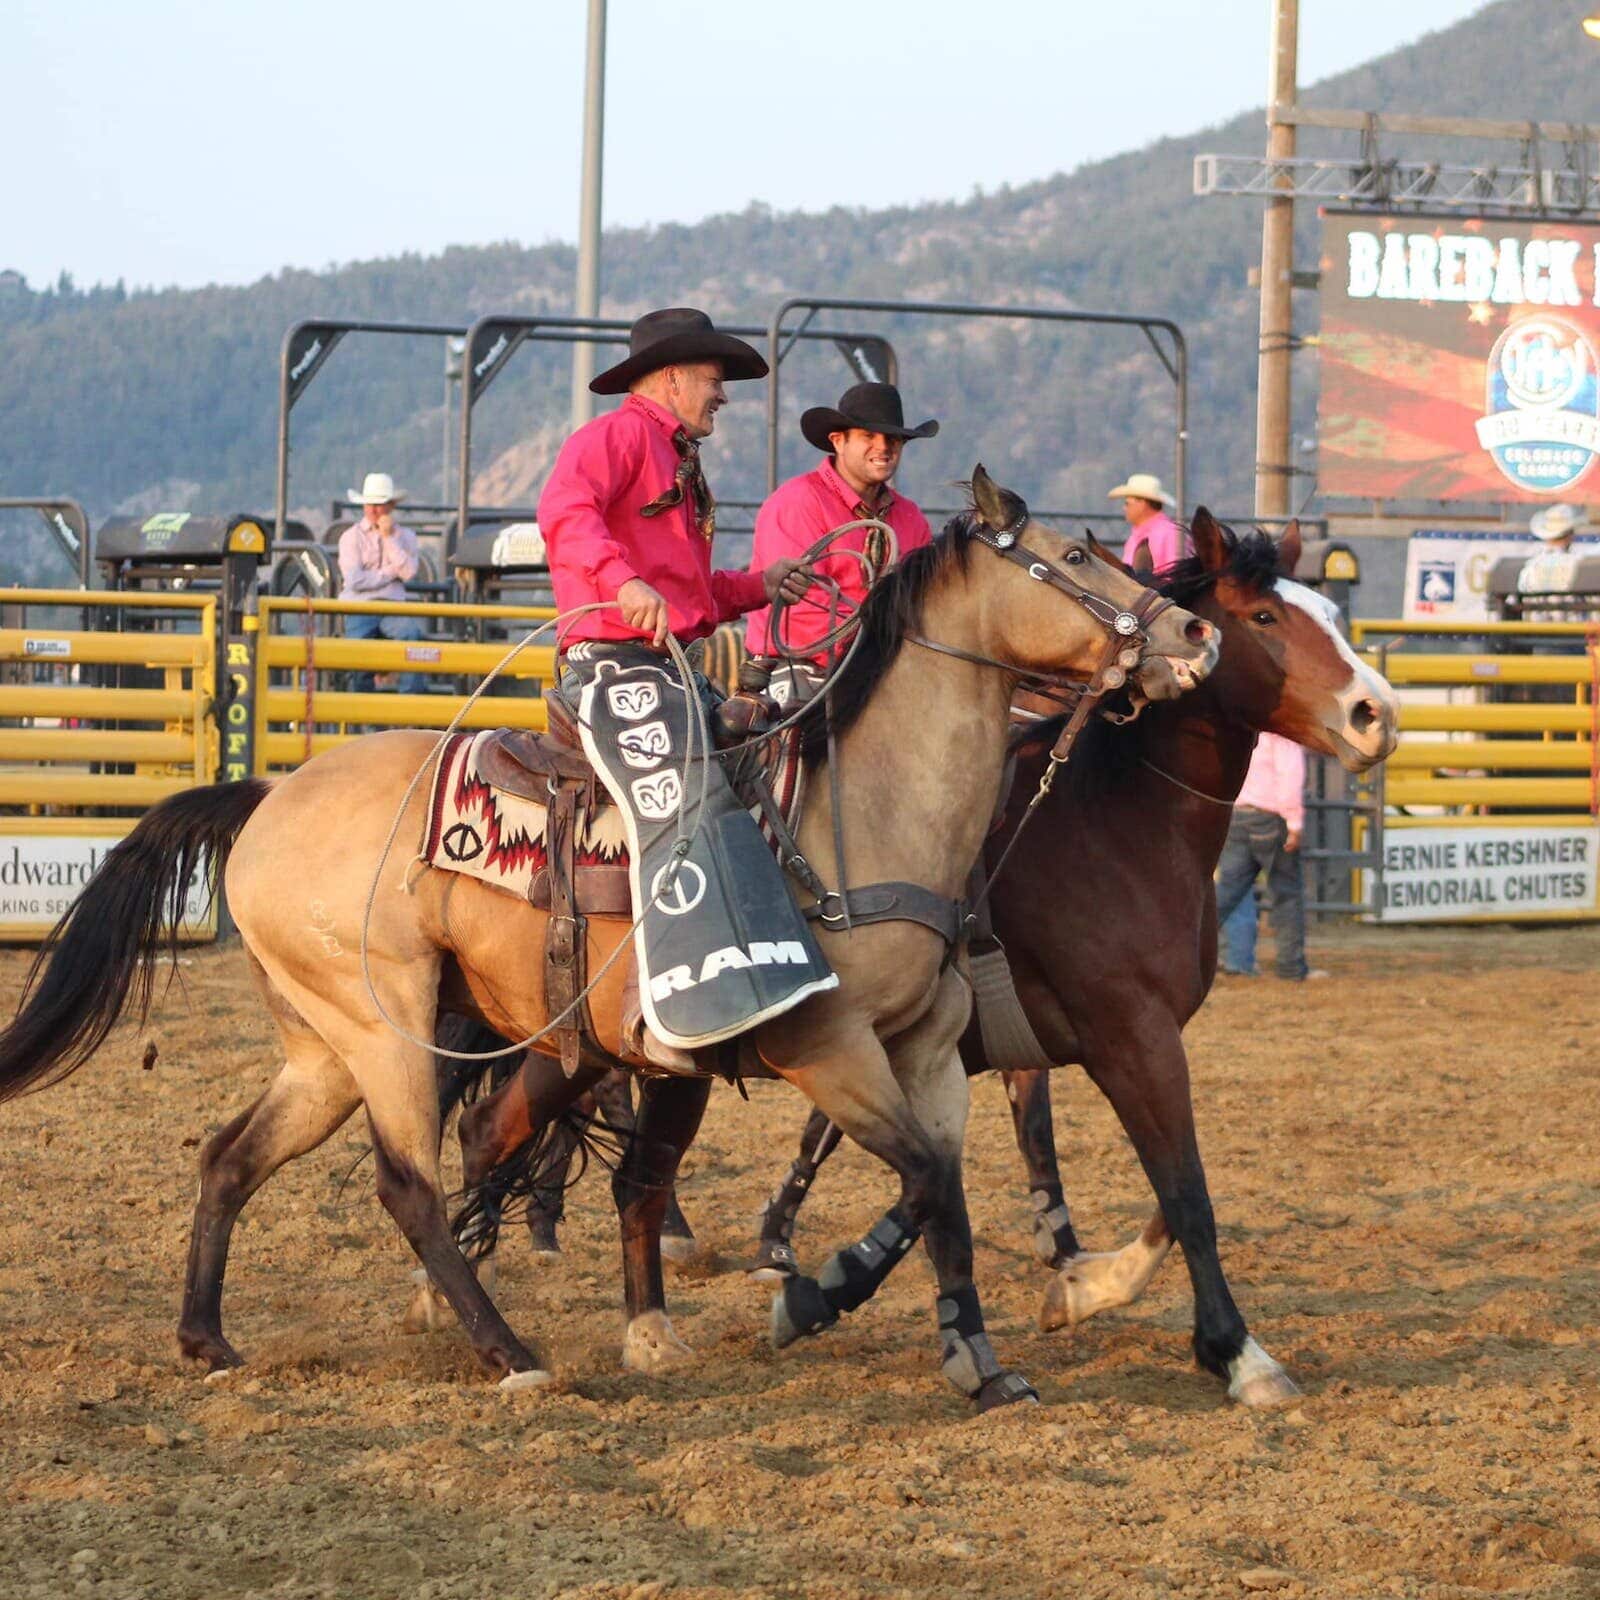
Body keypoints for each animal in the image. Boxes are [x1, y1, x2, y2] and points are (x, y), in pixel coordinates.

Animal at [0, 467, 1209, 1408]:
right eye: (1074, 555)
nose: (1192, 632)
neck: (859, 812)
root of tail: (267, 798)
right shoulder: (822, 1047)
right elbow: (911, 1180)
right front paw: (813, 1297)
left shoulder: (923, 1051)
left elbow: (943, 1196)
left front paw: (980, 1360)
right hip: (387, 1029)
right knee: (410, 1185)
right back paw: (511, 1352)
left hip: (325, 1043)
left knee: (231, 1155)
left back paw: (208, 1339)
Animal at [748, 512, 1401, 1401]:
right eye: (1265, 617)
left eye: (1330, 614)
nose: (1377, 713)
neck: (1112, 819)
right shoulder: (1132, 1040)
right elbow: (1187, 1196)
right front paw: (1237, 1351)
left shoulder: (1102, 1048)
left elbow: (1153, 1189)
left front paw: (1081, 1284)